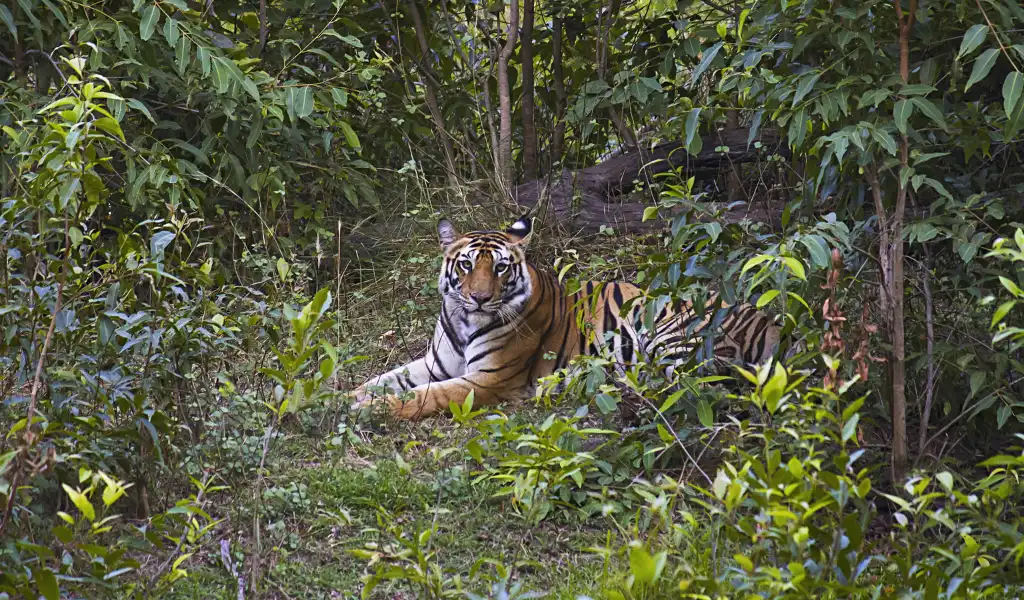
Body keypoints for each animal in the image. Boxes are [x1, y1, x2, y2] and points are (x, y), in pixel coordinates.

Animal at [348, 214, 782, 420]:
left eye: (501, 268)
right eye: (467, 265)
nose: (480, 299)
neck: (462, 320)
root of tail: (771, 321)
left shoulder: (488, 379)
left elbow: (425, 396)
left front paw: (368, 410)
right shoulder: (435, 363)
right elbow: (383, 380)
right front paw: (346, 397)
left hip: (671, 331)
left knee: (696, 387)